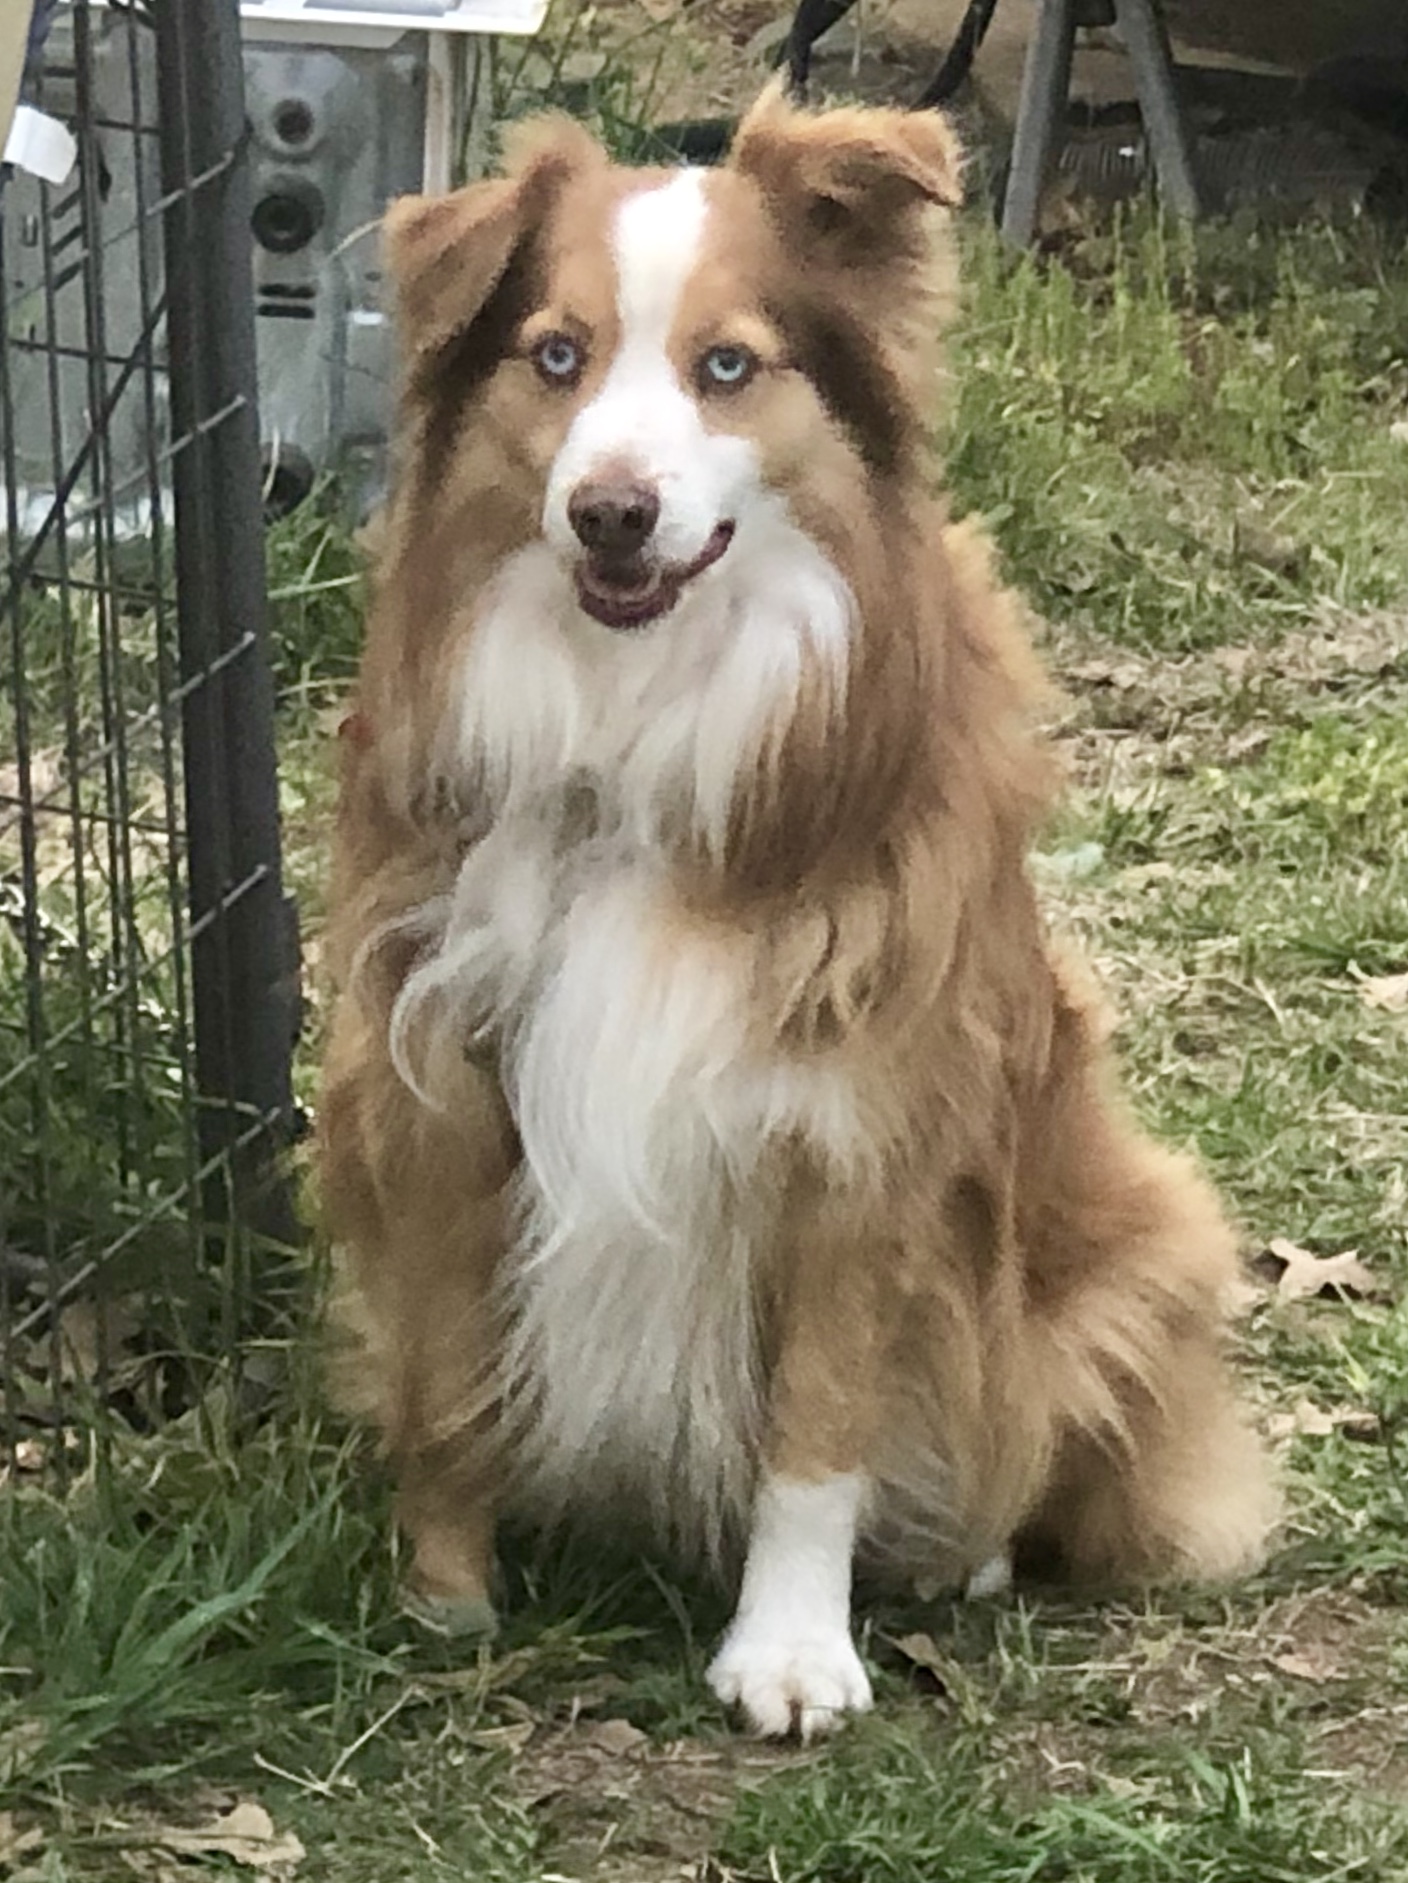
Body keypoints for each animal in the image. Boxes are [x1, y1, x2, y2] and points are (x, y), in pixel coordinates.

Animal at [316, 84, 1272, 1732]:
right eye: (555, 355)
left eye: (727, 366)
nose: (611, 513)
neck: (634, 727)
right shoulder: (436, 1069)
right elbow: (445, 1374)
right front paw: (442, 1599)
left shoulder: (857, 1121)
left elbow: (819, 1426)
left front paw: (790, 1651)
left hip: (1137, 1237)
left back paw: (967, 1554)